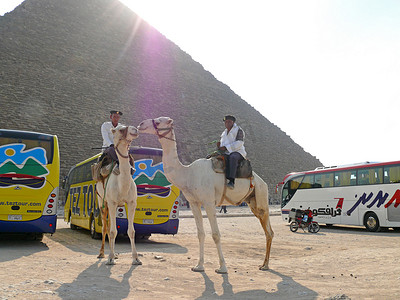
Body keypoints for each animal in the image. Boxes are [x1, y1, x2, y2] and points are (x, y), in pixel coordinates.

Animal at [95, 124, 142, 264]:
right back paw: (102, 253)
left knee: (110, 225)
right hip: (102, 201)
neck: (122, 185)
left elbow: (131, 231)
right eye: (121, 129)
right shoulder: (111, 202)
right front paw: (110, 258)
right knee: (105, 227)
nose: (135, 129)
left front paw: (136, 258)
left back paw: (114, 254)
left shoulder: (131, 203)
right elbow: (112, 231)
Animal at [137, 117, 272, 274]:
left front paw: (223, 267)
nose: (141, 124)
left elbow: (216, 234)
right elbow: (200, 233)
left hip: (261, 196)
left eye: (159, 121)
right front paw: (199, 266)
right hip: (252, 202)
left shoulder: (208, 202)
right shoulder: (194, 203)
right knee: (268, 231)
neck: (188, 174)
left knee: (269, 231)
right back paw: (264, 264)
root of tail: (261, 181)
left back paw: (265, 265)